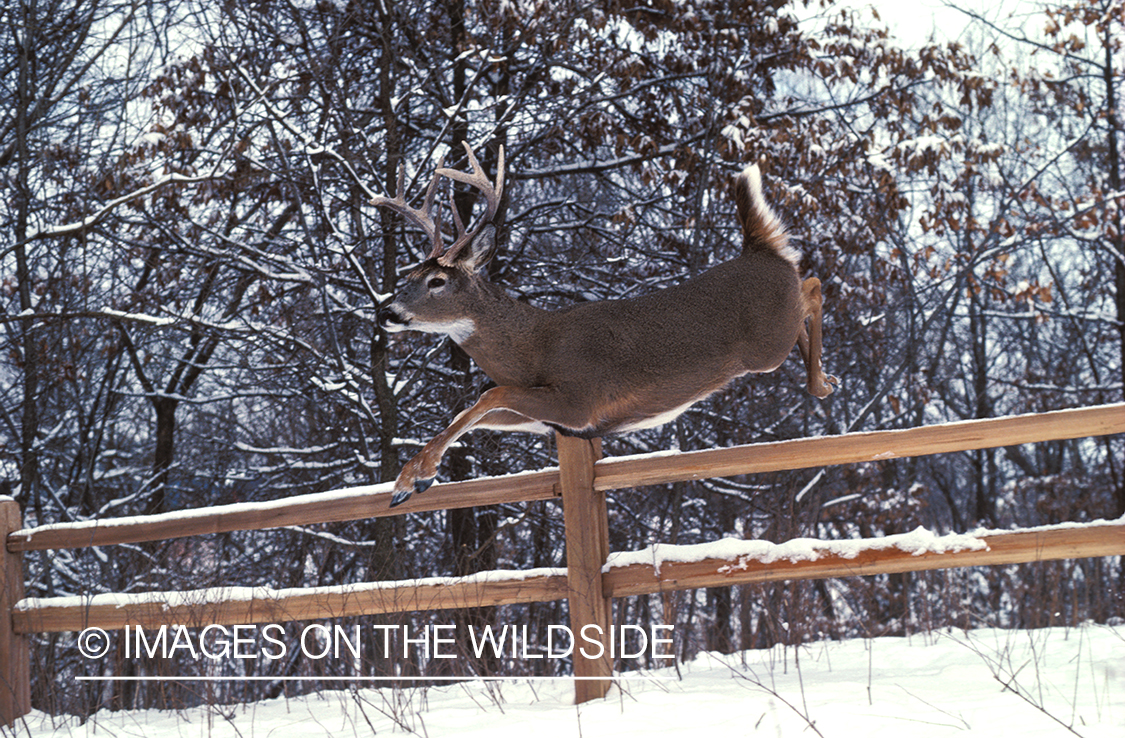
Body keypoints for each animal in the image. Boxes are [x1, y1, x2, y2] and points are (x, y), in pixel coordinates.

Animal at [378, 145, 837, 508]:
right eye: (409, 274)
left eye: (436, 281)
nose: (388, 312)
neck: (535, 348)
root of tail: (758, 250)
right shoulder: (554, 420)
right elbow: (473, 412)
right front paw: (409, 480)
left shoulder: (580, 399)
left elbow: (488, 395)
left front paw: (418, 475)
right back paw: (826, 377)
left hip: (767, 344)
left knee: (813, 286)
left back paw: (821, 381)